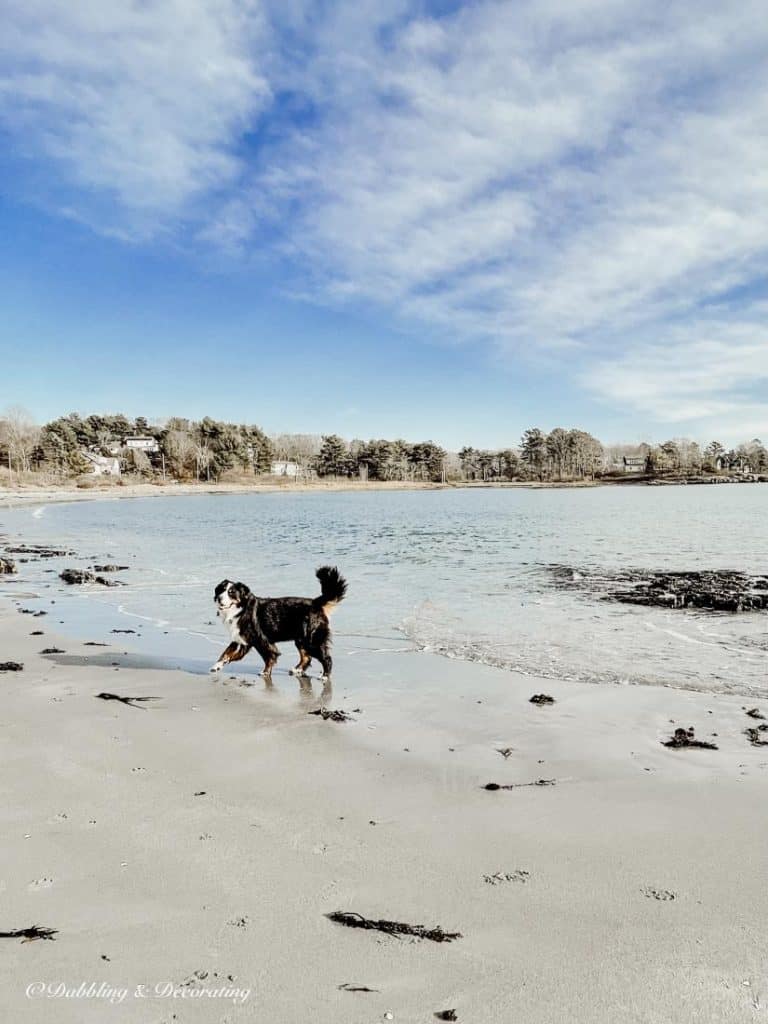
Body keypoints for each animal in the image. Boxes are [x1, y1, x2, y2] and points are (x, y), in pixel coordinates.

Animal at [214, 569, 352, 679]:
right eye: (221, 590)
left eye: (231, 592)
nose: (219, 598)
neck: (240, 610)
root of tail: (316, 603)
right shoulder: (241, 639)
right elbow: (227, 653)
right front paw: (217, 666)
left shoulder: (261, 640)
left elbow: (269, 657)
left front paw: (265, 672)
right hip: (301, 639)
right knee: (306, 657)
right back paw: (297, 670)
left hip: (311, 639)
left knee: (326, 658)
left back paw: (325, 676)